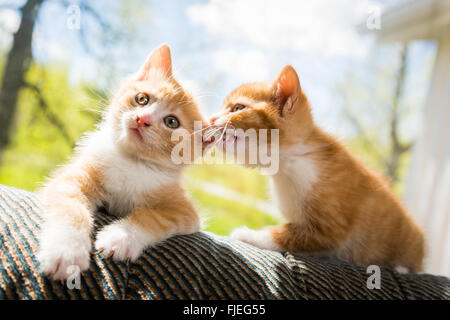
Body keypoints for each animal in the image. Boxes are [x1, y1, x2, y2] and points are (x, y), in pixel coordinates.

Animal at [37, 44, 205, 280]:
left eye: (172, 122)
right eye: (142, 99)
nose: (142, 119)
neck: (132, 161)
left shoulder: (185, 211)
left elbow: (154, 218)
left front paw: (121, 237)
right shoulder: (72, 178)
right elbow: (70, 206)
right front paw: (67, 251)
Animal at [207, 64, 426, 272]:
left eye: (237, 108)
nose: (210, 119)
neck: (288, 165)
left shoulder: (331, 228)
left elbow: (292, 234)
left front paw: (249, 235)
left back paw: (401, 267)